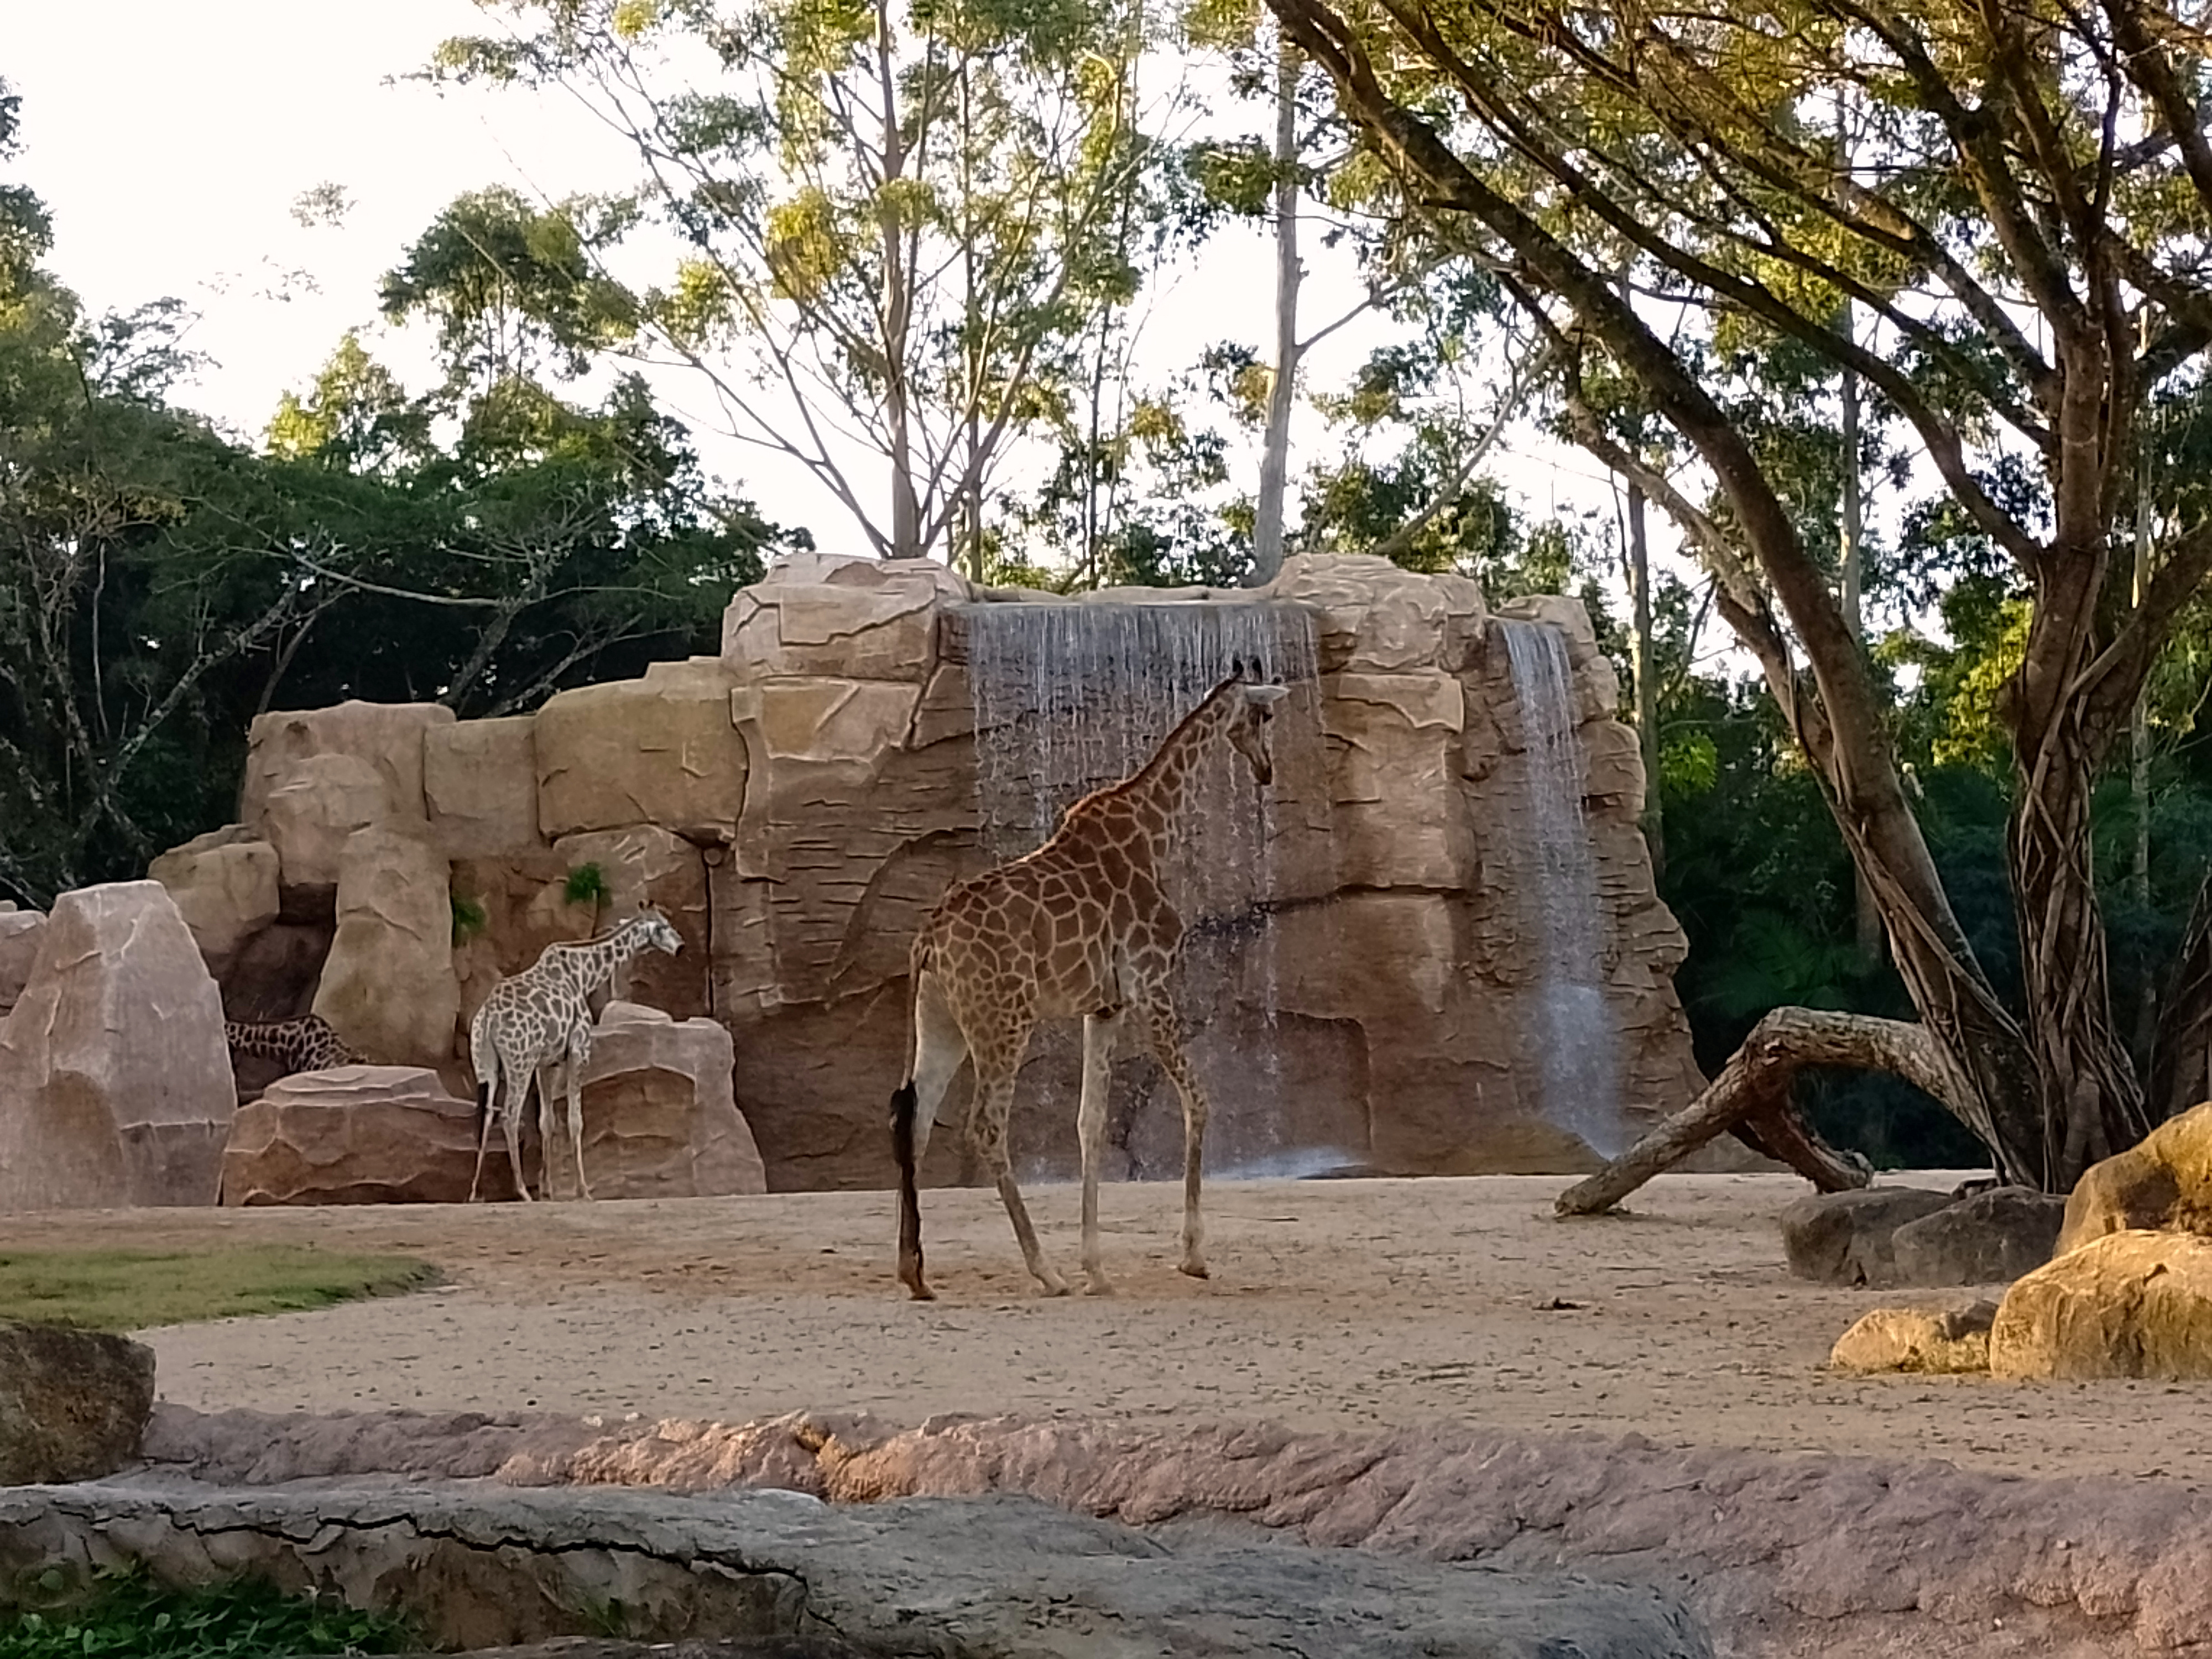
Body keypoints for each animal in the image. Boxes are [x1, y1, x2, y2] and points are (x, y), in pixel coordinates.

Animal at [467, 908, 684, 1203]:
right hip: (519, 1062)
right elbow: (575, 1121)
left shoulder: (545, 1063)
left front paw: (548, 1190)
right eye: (664, 926)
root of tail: (489, 1015)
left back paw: (475, 1192)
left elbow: (546, 1121)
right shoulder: (579, 1050)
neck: (585, 974)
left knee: (487, 1115)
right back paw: (522, 1191)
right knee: (509, 1117)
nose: (680, 947)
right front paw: (583, 1190)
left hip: (487, 1064)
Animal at [890, 663, 1291, 1301]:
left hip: (942, 1021)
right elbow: (1198, 1102)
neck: (1155, 830)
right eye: (1265, 714)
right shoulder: (1152, 984)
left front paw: (1097, 1268)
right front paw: (1192, 1256)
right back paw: (1044, 1271)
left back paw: (916, 1274)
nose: (1266, 769)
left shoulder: (1104, 1006)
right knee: (986, 1127)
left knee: (916, 1118)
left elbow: (1090, 1122)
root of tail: (928, 943)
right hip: (1004, 1019)